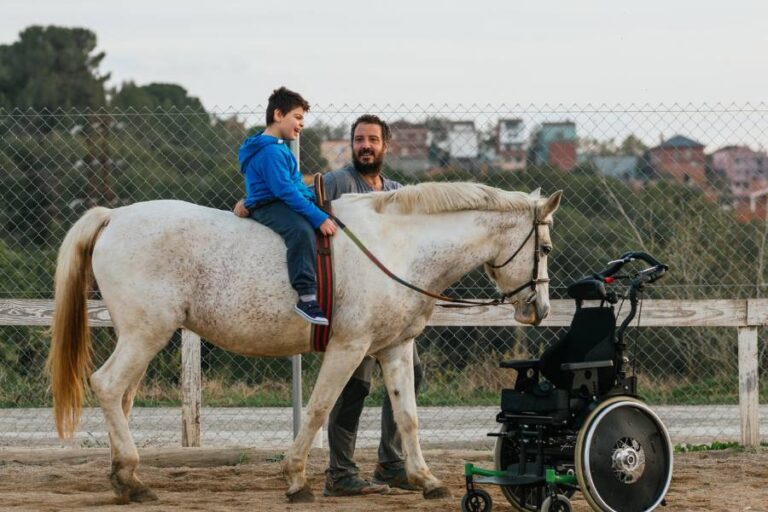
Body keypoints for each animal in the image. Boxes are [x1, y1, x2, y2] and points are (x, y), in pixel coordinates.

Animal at [49, 182, 564, 502]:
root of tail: (113, 216)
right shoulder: (349, 348)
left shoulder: (394, 348)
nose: (538, 310)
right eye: (545, 249)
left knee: (122, 396)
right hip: (146, 333)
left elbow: (408, 417)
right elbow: (319, 410)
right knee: (108, 386)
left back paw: (124, 476)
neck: (396, 247)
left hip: (141, 337)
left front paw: (426, 480)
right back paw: (131, 477)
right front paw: (296, 479)